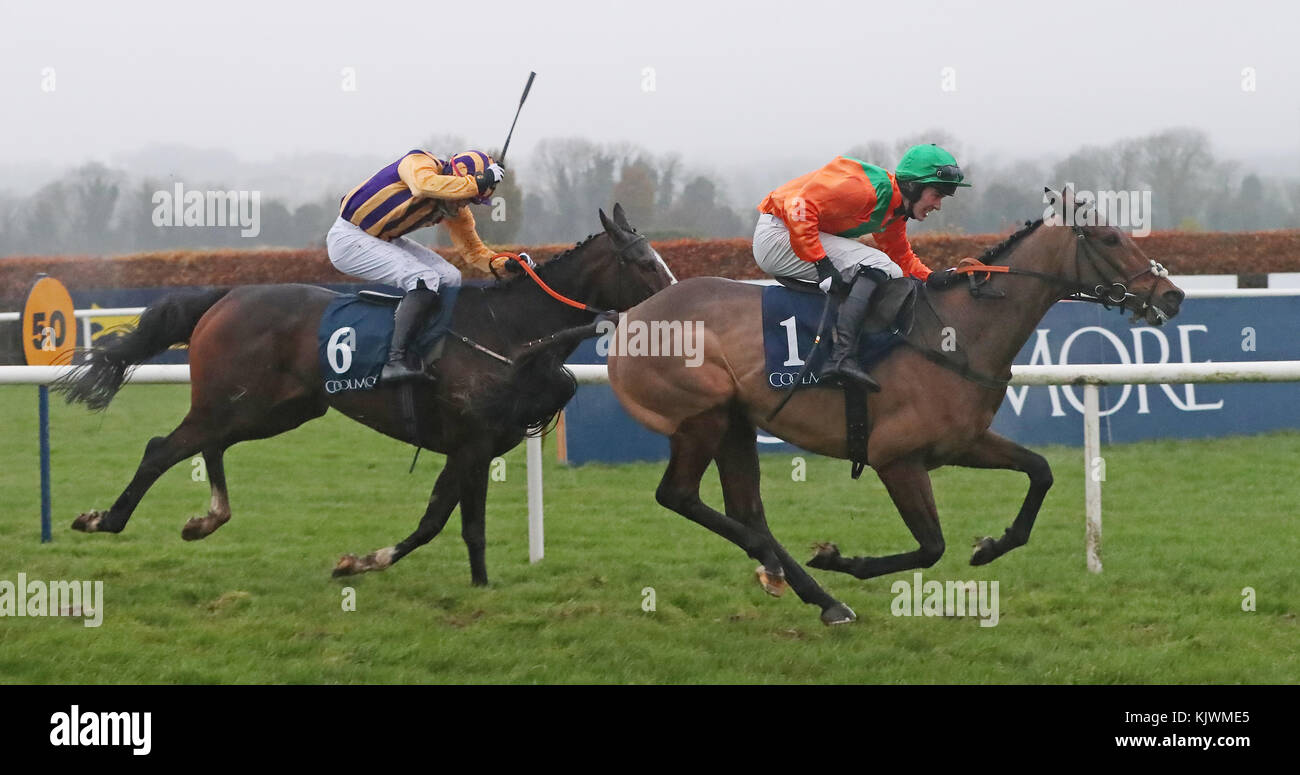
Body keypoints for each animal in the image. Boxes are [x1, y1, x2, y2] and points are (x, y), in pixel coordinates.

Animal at [59, 202, 670, 585]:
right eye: (643, 262)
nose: (677, 304)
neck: (512, 332)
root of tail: (227, 295)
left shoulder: (475, 447)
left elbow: (449, 522)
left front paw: (474, 586)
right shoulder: (471, 443)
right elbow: (447, 523)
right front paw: (366, 564)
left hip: (272, 408)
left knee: (209, 445)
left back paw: (205, 519)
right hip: (235, 401)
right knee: (162, 448)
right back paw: (103, 520)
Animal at [603, 191, 1185, 626]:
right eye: (1110, 238)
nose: (1172, 295)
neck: (956, 333)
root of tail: (632, 315)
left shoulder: (962, 443)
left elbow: (1039, 472)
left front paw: (991, 546)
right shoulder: (895, 458)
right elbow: (930, 546)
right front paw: (842, 559)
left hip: (737, 424)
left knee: (748, 512)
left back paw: (819, 598)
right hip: (703, 417)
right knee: (680, 496)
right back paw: (784, 570)